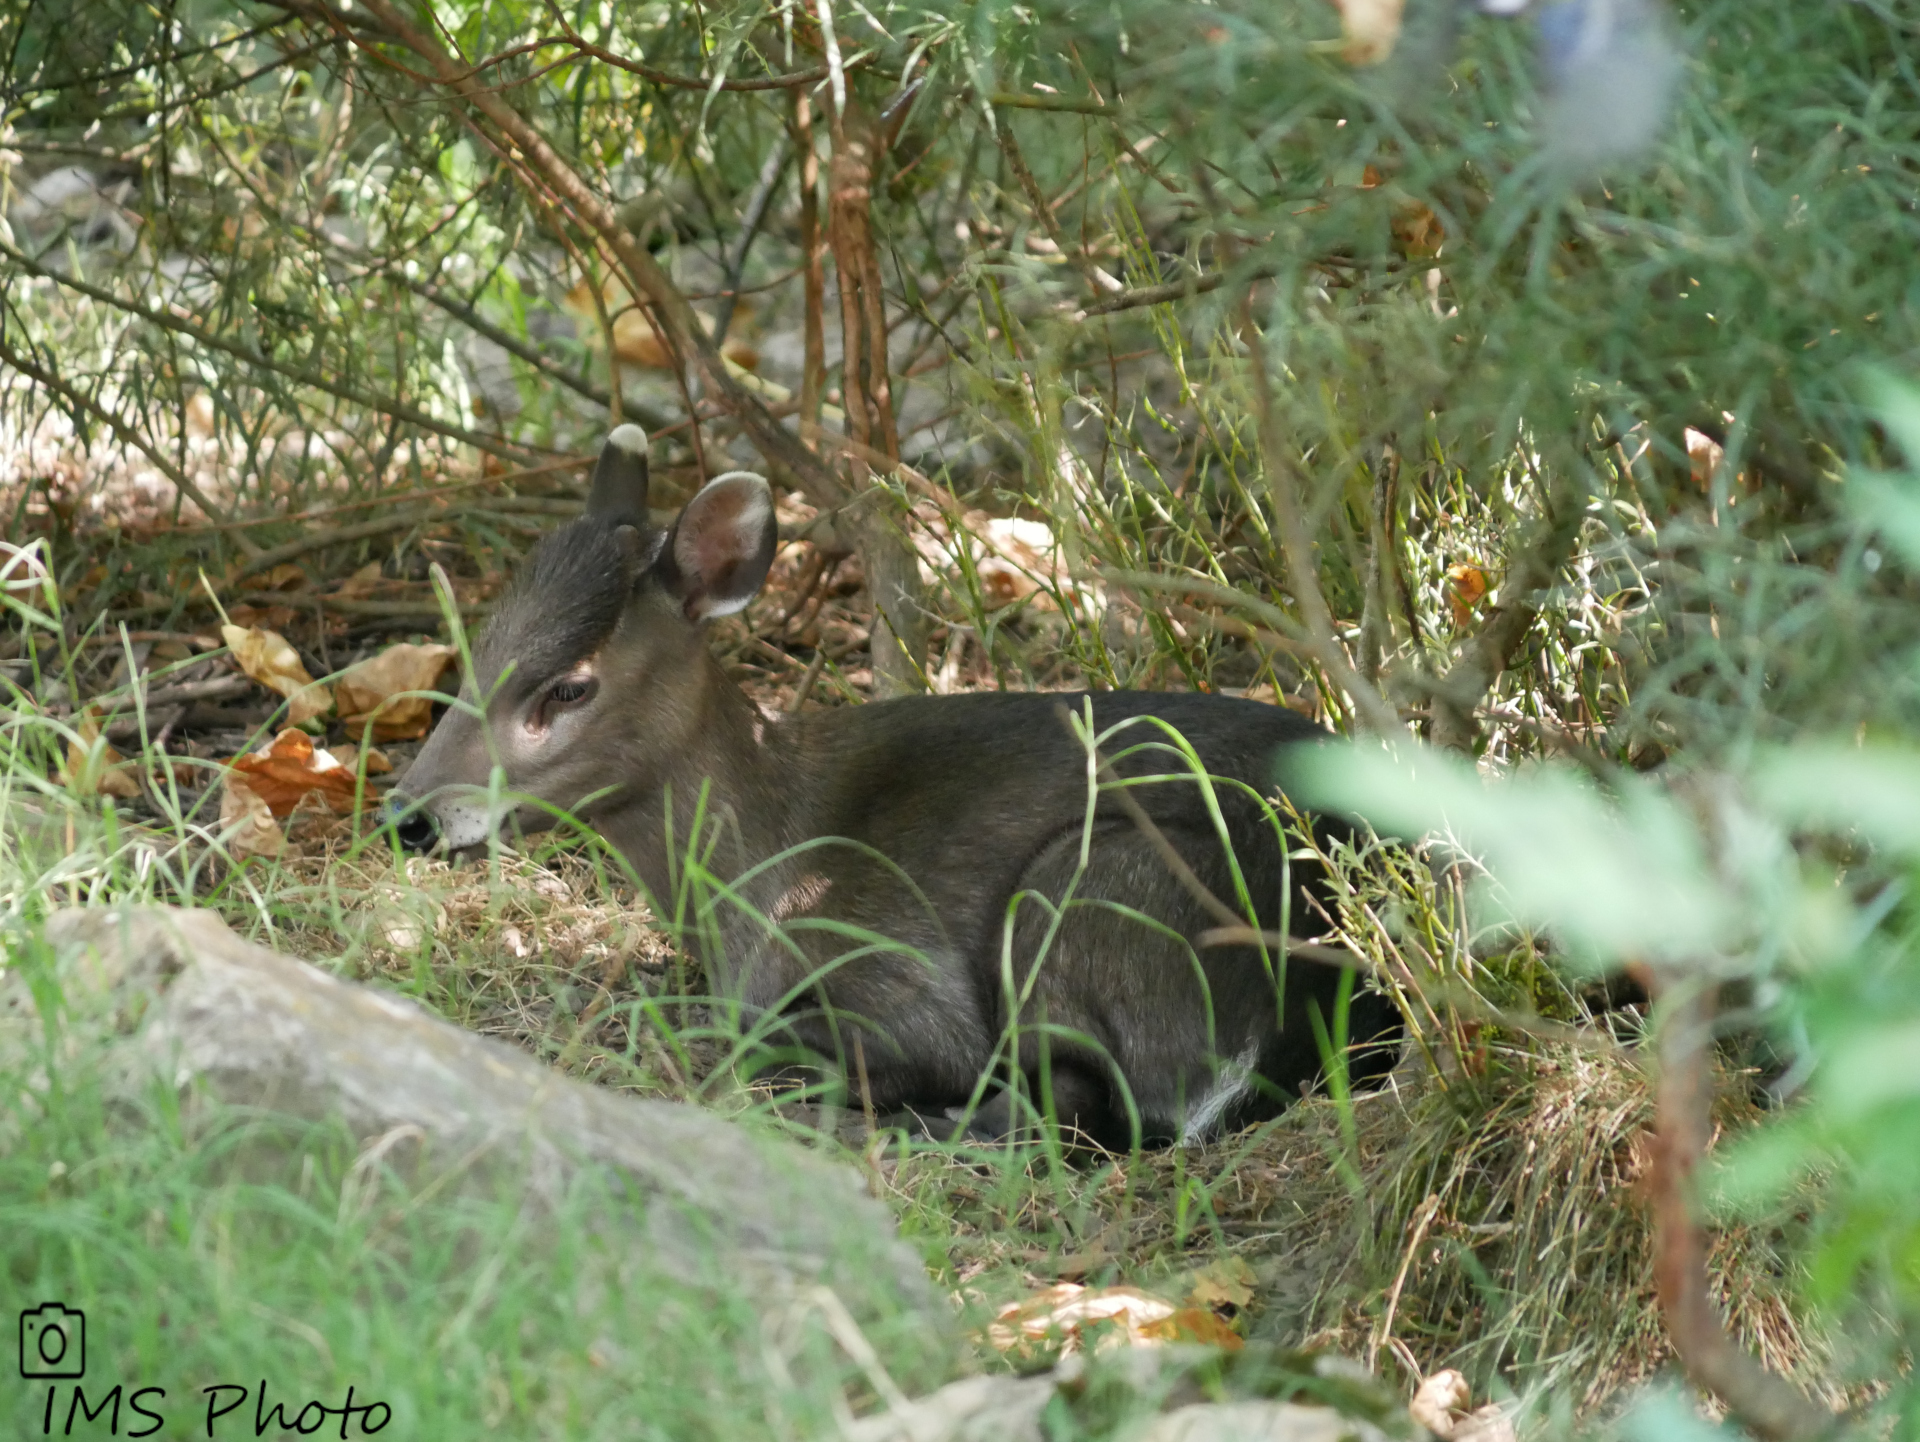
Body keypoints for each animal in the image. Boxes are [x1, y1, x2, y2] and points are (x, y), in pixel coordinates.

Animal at [389, 422, 1397, 1144]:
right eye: (476, 644)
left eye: (569, 686)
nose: (410, 814)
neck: (752, 875)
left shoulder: (907, 985)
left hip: (1097, 889)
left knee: (1081, 1110)